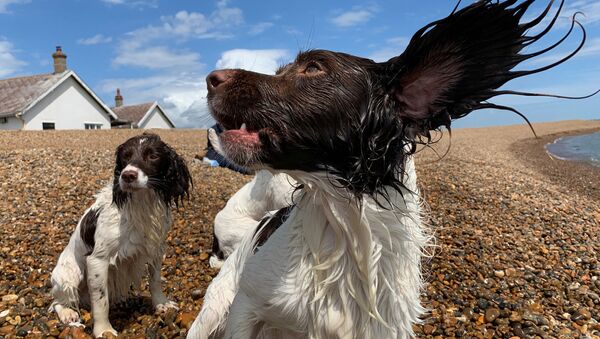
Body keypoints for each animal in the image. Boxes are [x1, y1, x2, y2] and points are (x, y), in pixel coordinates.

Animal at [51, 133, 193, 338]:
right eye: (126, 156)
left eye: (153, 156)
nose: (127, 175)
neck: (140, 203)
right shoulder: (97, 260)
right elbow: (101, 301)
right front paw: (103, 330)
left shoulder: (156, 249)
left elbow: (155, 281)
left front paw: (161, 304)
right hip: (69, 275)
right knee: (57, 301)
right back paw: (68, 313)